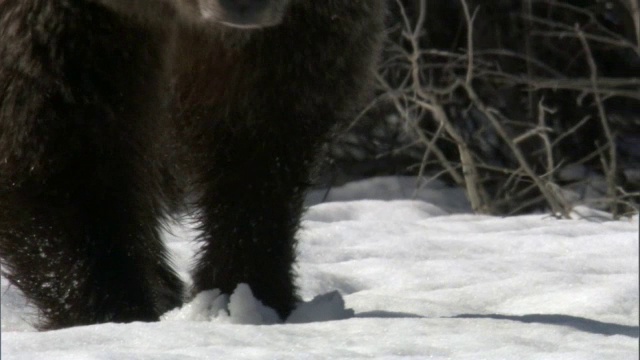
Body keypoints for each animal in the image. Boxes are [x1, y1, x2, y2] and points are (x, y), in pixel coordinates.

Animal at [0, 0, 384, 330]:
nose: (244, 6)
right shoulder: (61, 30)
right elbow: (55, 147)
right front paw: (113, 310)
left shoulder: (294, 34)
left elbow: (261, 142)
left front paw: (247, 294)